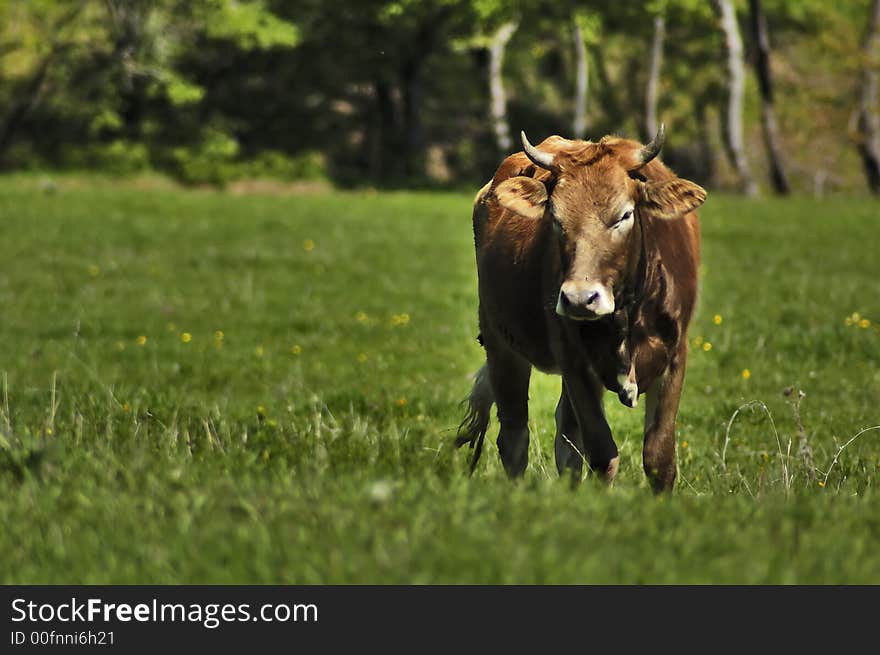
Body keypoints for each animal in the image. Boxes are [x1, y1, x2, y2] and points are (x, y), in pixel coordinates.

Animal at [458, 125, 704, 492]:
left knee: (566, 438)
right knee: (515, 436)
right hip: (500, 343)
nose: (579, 298)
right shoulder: (575, 361)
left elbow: (659, 457)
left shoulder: (675, 355)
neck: (626, 317)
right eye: (556, 218)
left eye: (624, 215)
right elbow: (602, 452)